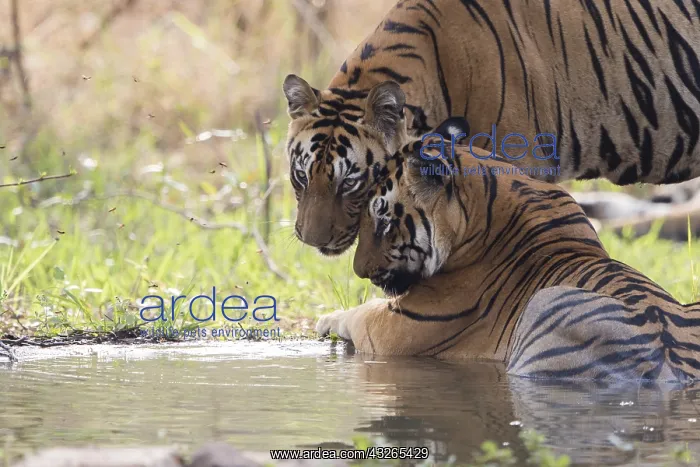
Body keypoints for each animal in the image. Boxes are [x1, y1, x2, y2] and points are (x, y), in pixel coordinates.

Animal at [315, 117, 700, 382]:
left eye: (382, 219)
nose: (359, 271)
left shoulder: (398, 328)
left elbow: (361, 311)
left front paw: (327, 319)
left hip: (545, 305)